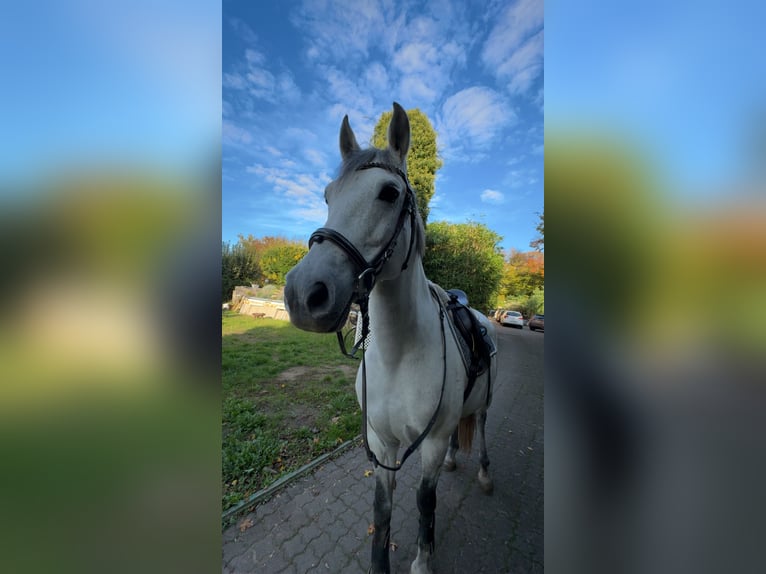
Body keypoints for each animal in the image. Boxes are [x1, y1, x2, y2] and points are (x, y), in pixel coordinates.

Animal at [284, 102, 497, 574]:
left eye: (388, 193)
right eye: (328, 195)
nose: (303, 294)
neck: (399, 355)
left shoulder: (428, 444)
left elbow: (424, 501)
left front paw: (422, 561)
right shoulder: (382, 443)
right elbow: (382, 510)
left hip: (484, 405)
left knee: (481, 430)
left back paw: (485, 473)